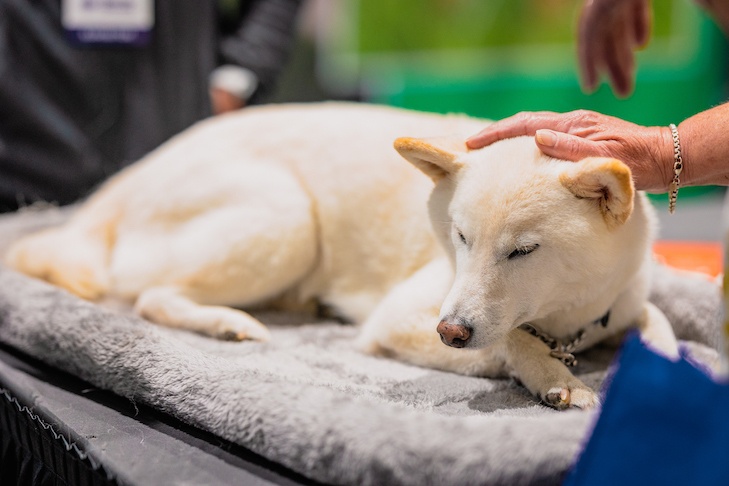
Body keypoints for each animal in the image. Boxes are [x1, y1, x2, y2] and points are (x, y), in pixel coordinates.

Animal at [4, 102, 676, 410]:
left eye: (523, 250)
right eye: (460, 238)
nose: (451, 331)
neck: (571, 321)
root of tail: (131, 173)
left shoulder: (626, 298)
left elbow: (657, 323)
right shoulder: (403, 315)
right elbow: (511, 343)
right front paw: (554, 377)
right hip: (287, 218)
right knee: (150, 296)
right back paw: (228, 323)